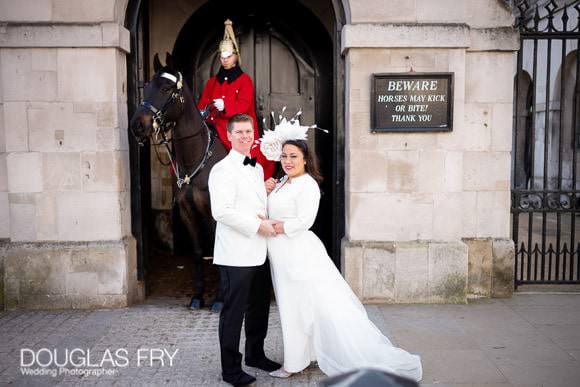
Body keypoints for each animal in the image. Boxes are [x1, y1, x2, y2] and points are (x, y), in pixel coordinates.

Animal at [129, 52, 227, 312]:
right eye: (146, 86)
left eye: (165, 88)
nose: (137, 125)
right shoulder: (187, 212)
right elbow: (198, 252)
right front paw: (198, 296)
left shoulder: (215, 215)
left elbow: (219, 252)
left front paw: (220, 300)